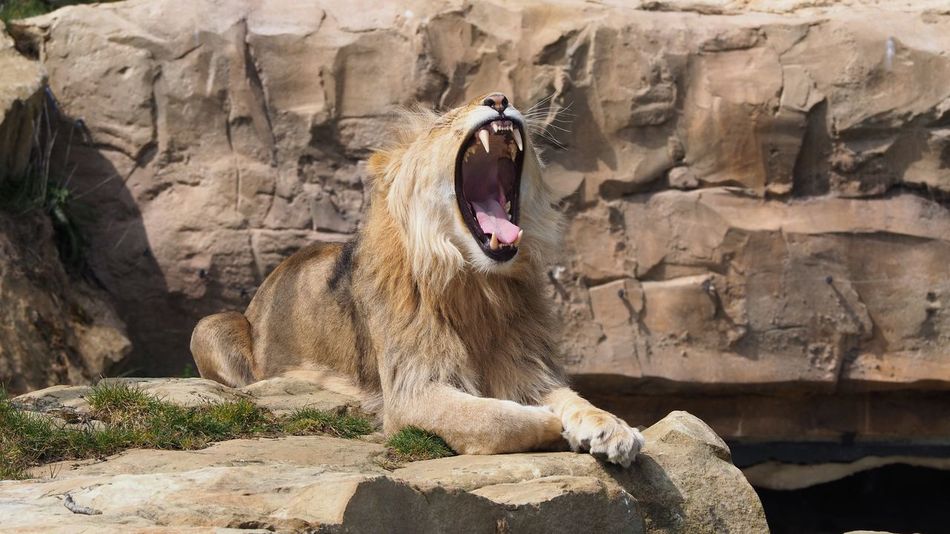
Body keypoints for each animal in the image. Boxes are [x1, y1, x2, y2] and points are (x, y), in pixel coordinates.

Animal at [191, 93, 644, 466]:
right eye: (443, 122)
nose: (499, 99)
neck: (478, 287)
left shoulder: (528, 365)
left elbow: (574, 398)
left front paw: (612, 427)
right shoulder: (409, 391)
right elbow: (485, 417)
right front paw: (549, 424)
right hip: (208, 326)